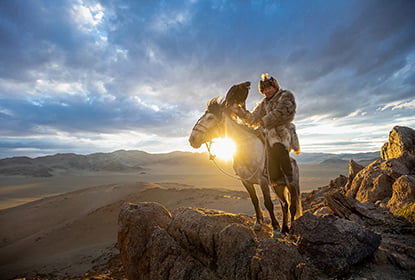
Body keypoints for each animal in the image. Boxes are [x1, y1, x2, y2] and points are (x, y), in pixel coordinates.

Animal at [188, 83, 302, 236]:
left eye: (210, 118)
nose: (192, 139)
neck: (247, 151)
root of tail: (294, 163)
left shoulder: (263, 181)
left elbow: (268, 203)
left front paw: (275, 228)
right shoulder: (246, 182)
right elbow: (255, 201)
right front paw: (258, 224)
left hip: (291, 184)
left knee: (292, 206)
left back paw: (290, 229)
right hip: (278, 186)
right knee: (284, 204)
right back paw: (285, 228)